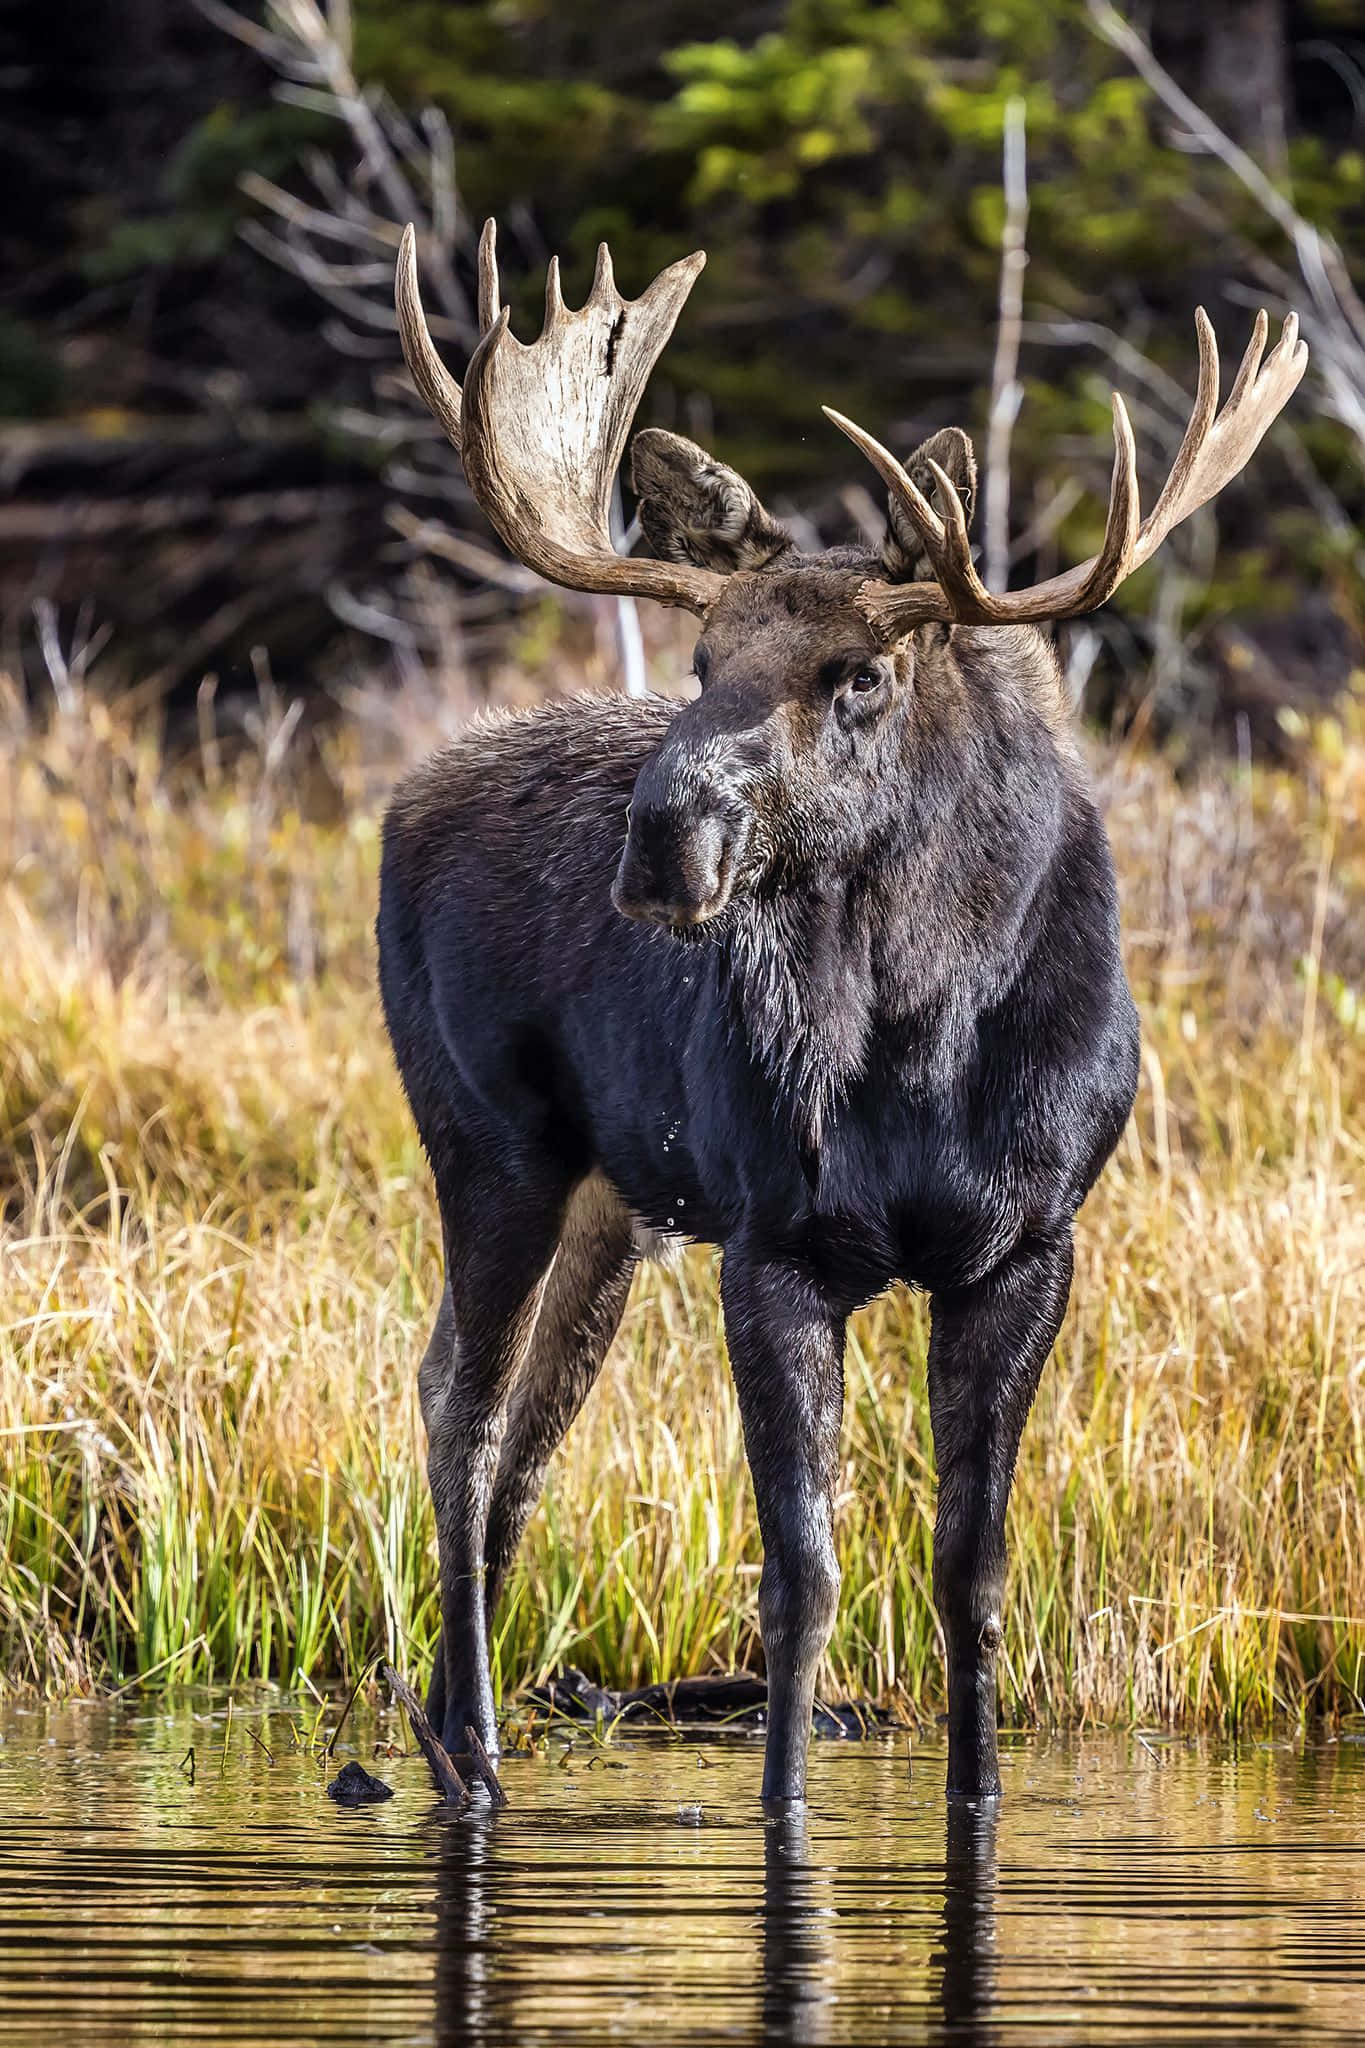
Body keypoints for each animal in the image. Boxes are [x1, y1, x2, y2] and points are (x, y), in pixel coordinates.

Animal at [378, 219, 1306, 1804]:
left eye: (860, 673)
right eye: (701, 664)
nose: (662, 839)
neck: (930, 1040)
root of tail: (396, 804)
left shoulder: (1028, 1244)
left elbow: (971, 1569)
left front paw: (976, 1797)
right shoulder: (776, 1241)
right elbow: (801, 1576)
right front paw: (786, 1811)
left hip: (612, 1205)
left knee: (518, 1430)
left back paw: (453, 1732)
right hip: (491, 1144)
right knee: (464, 1411)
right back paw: (476, 1756)